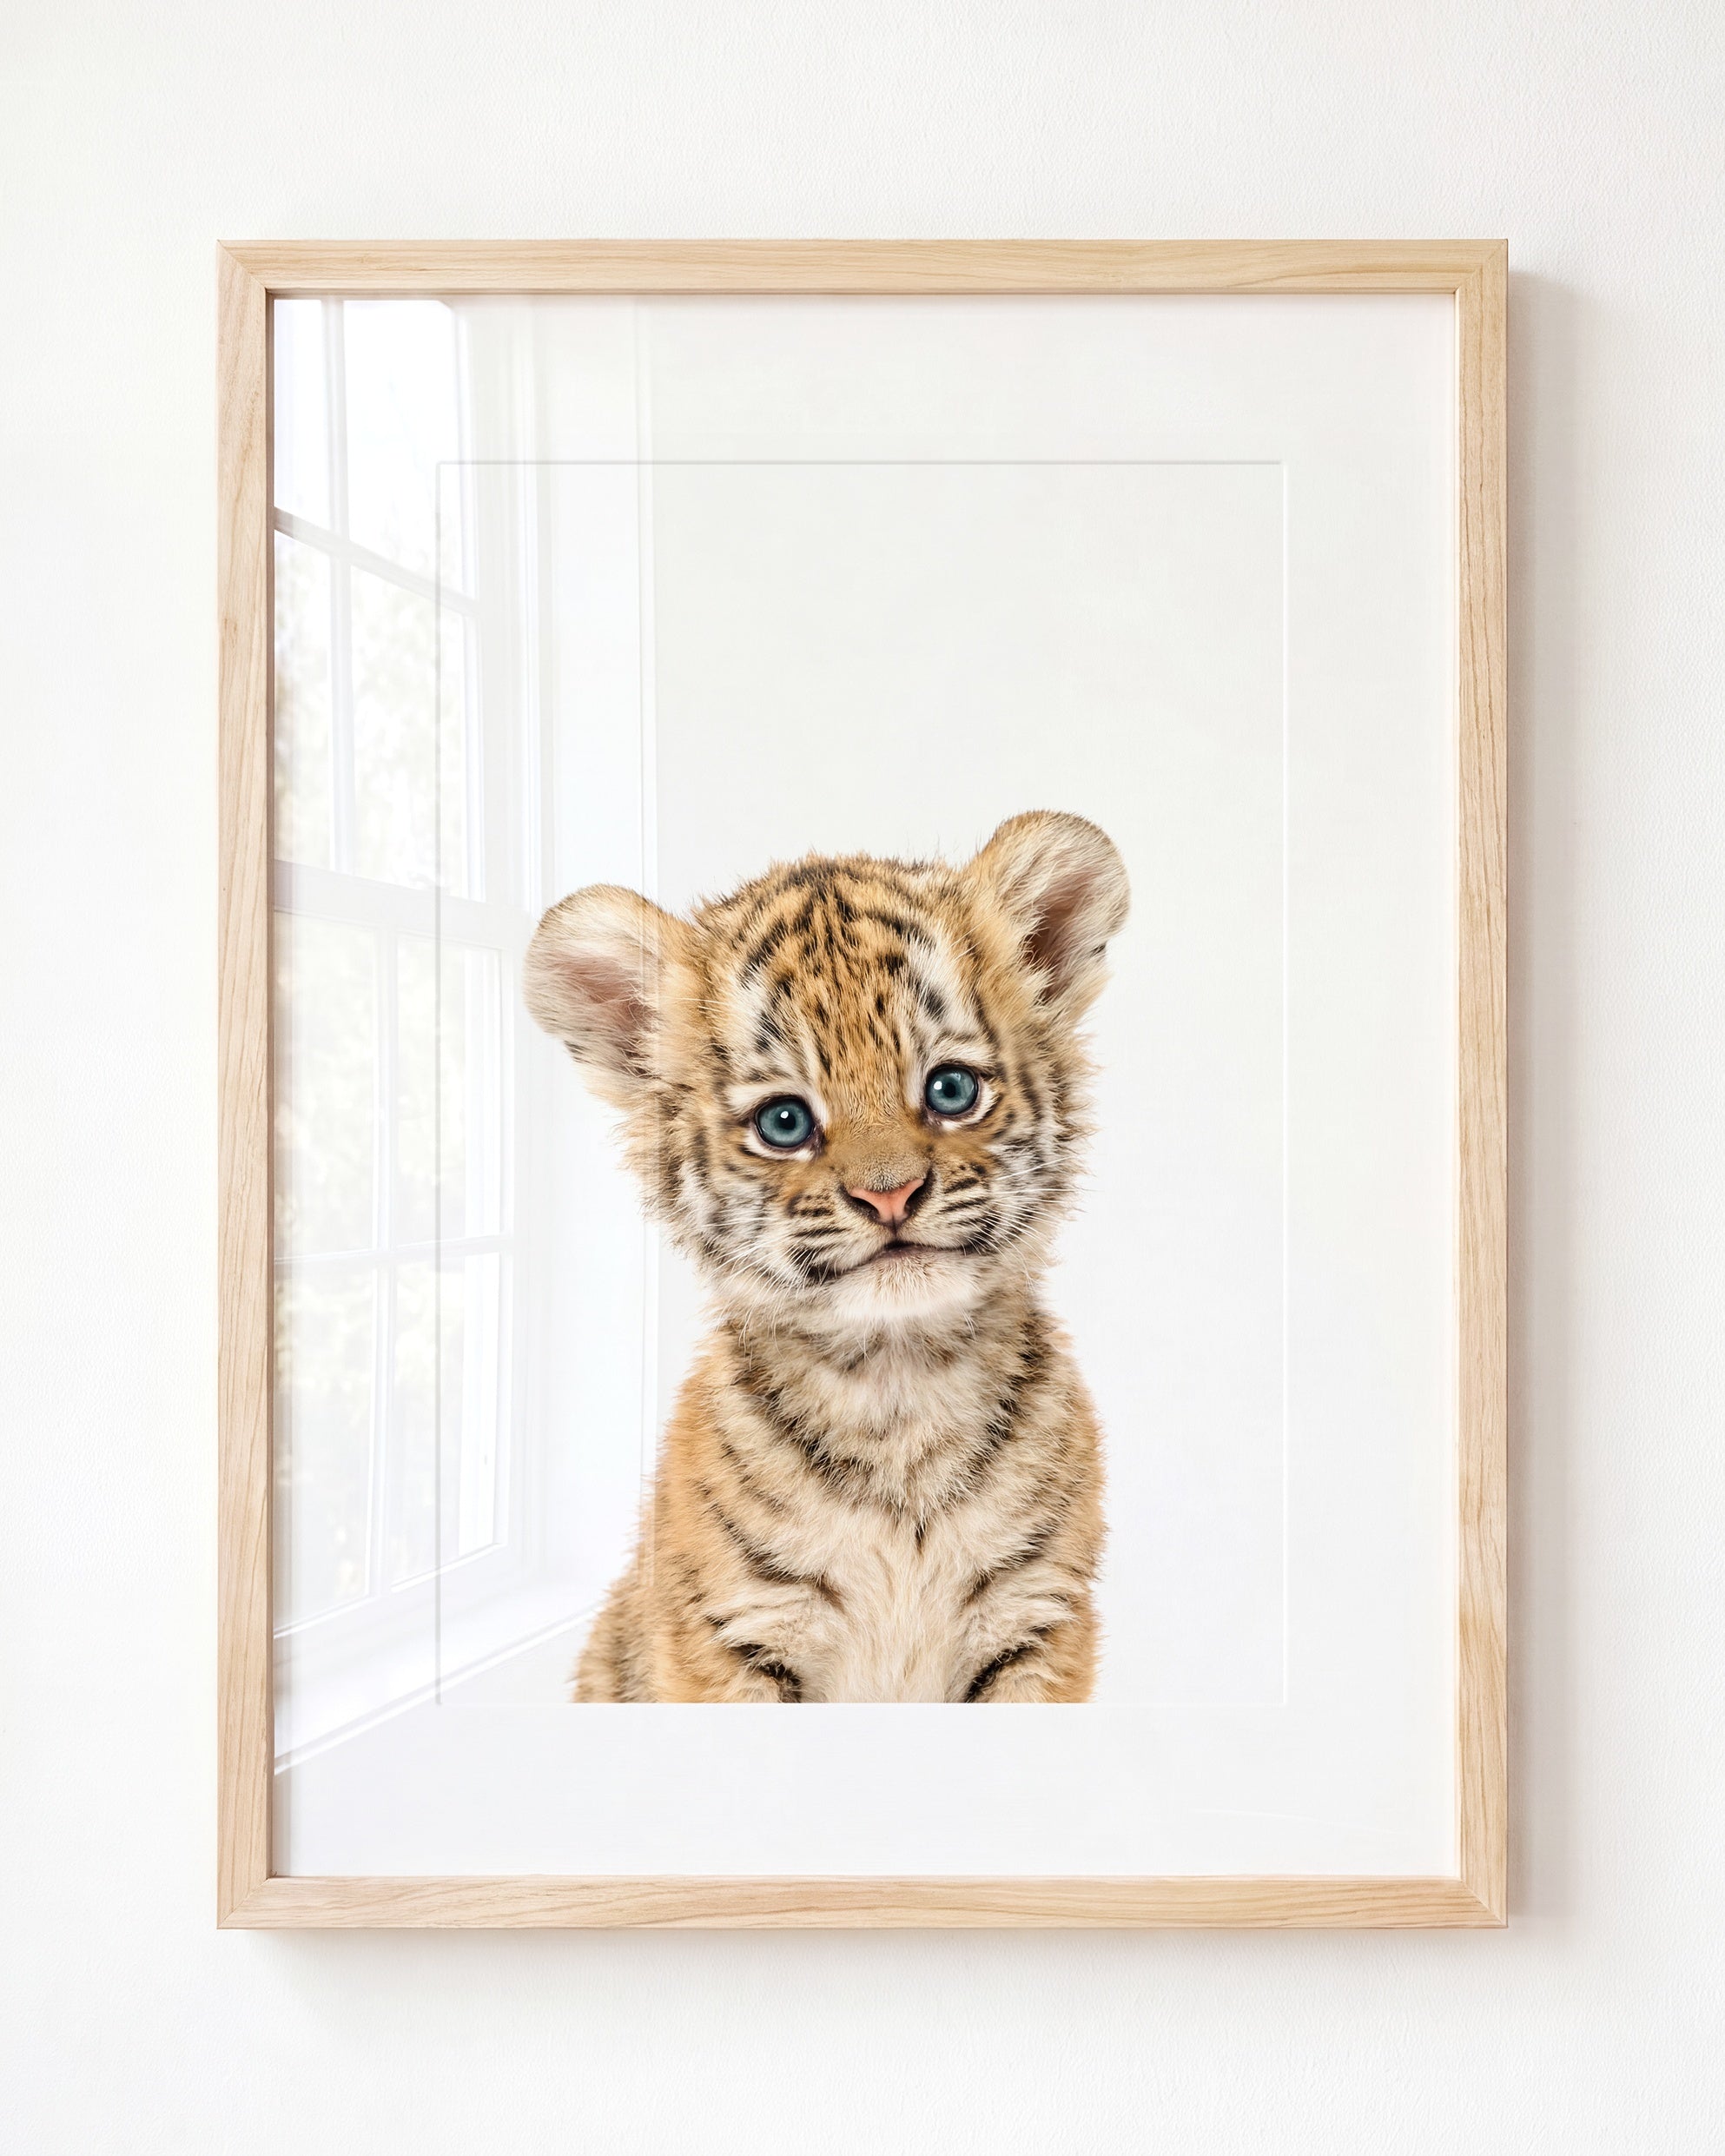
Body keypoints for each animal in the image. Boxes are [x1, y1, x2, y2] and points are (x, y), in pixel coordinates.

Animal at [523, 810, 1129, 1703]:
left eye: (951, 1090)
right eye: (784, 1122)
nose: (890, 1195)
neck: (899, 1390)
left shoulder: (1037, 1619)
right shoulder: (732, 1635)